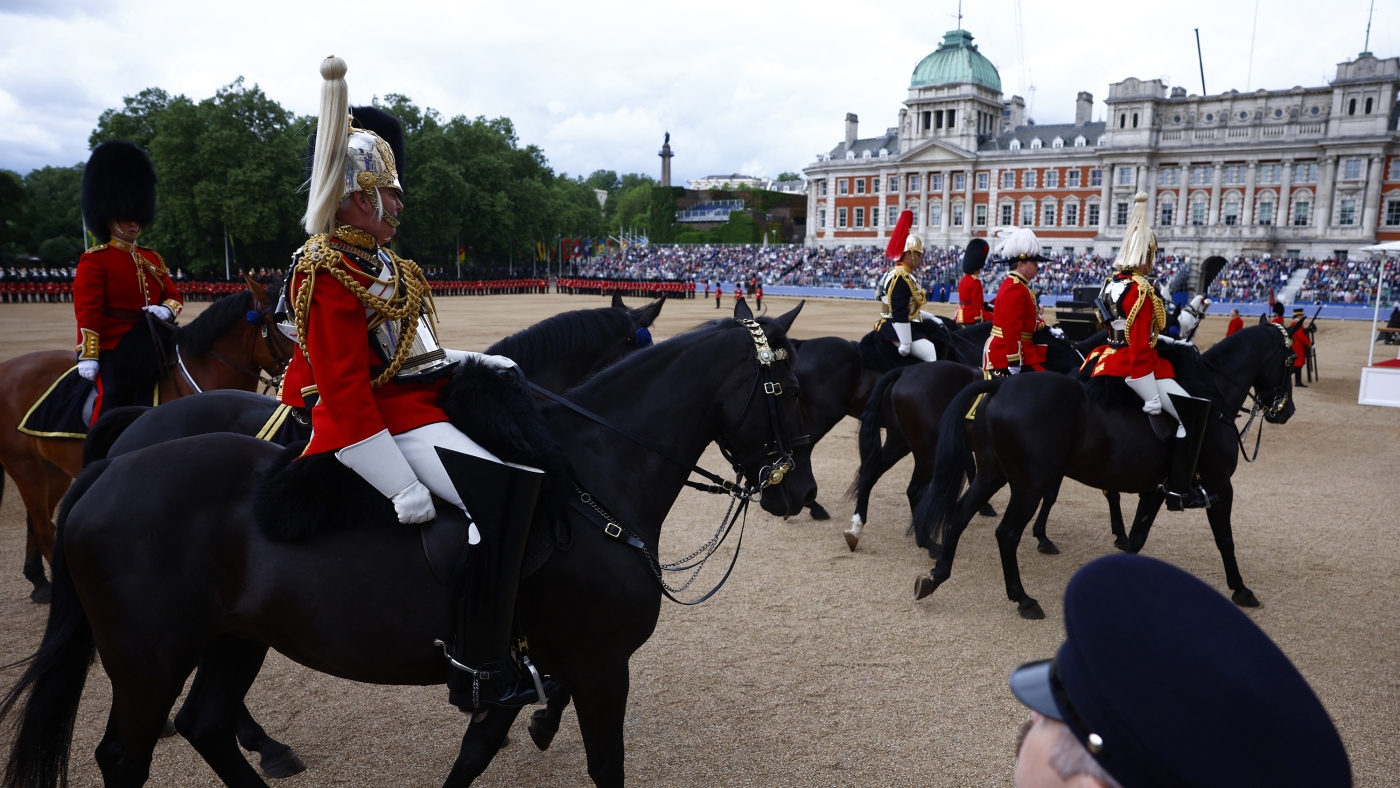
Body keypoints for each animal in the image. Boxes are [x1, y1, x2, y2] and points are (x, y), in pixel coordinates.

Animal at [0, 274, 289, 601]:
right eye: (281, 321)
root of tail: (7, 366)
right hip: (26, 467)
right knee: (43, 526)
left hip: (53, 469)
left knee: (35, 520)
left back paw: (38, 580)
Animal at [912, 323, 1293, 618]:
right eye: (1291, 362)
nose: (1285, 411)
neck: (1212, 399)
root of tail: (1001, 384)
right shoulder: (1219, 485)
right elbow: (1225, 539)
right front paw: (1241, 589)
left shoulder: (1157, 489)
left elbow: (1137, 539)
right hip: (1029, 485)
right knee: (1006, 534)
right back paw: (1023, 599)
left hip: (993, 474)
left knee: (960, 513)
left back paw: (935, 575)